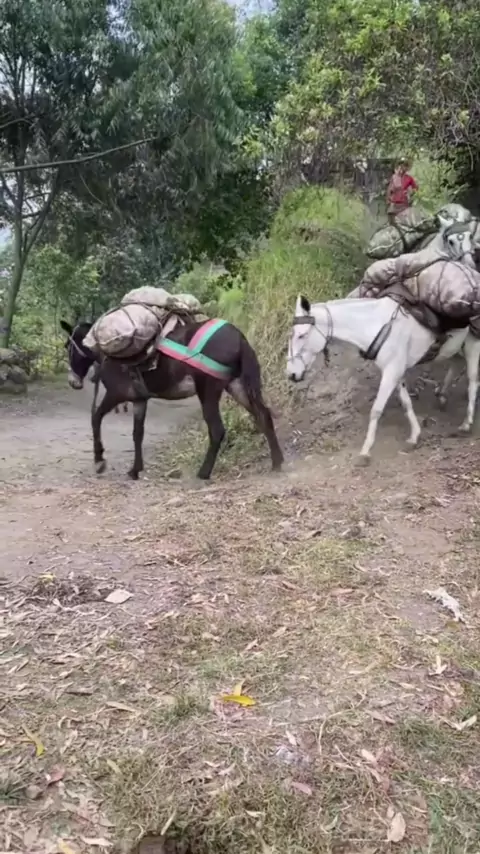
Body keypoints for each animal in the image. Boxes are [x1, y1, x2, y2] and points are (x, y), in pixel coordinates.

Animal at [60, 317, 283, 481]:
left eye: (67, 346)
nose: (73, 382)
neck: (107, 354)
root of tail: (239, 337)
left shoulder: (116, 394)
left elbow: (95, 418)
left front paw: (99, 461)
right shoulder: (139, 400)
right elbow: (137, 433)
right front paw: (135, 470)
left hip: (208, 390)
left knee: (217, 429)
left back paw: (203, 473)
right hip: (237, 386)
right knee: (263, 415)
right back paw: (277, 462)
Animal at [287, 295, 480, 464]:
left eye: (301, 335)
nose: (291, 374)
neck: (376, 325)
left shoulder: (391, 372)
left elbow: (377, 410)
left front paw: (365, 452)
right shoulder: (395, 372)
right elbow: (406, 403)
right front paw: (414, 436)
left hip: (472, 345)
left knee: (472, 381)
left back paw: (466, 424)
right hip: (457, 348)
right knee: (456, 365)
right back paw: (442, 395)